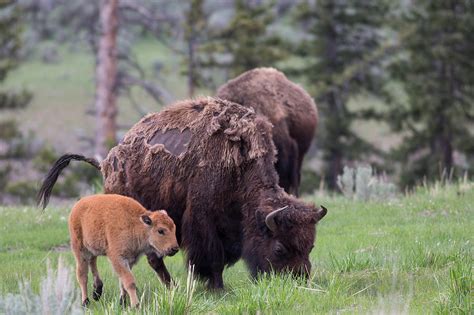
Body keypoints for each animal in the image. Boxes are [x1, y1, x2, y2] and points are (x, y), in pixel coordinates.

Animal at [38, 97, 326, 290]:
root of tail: (107, 161)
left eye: (310, 245)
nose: (298, 280)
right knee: (153, 258)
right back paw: (171, 287)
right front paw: (217, 288)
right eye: (279, 248)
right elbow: (211, 258)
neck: (240, 167)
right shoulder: (203, 221)